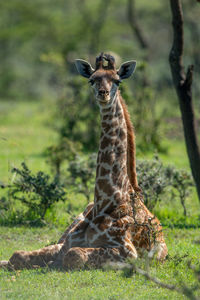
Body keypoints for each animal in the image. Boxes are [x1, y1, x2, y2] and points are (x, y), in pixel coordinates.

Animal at [0, 54, 168, 272]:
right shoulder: (66, 242)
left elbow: (74, 256)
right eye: (92, 80)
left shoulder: (127, 251)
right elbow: (18, 255)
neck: (107, 200)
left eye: (117, 81)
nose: (103, 94)